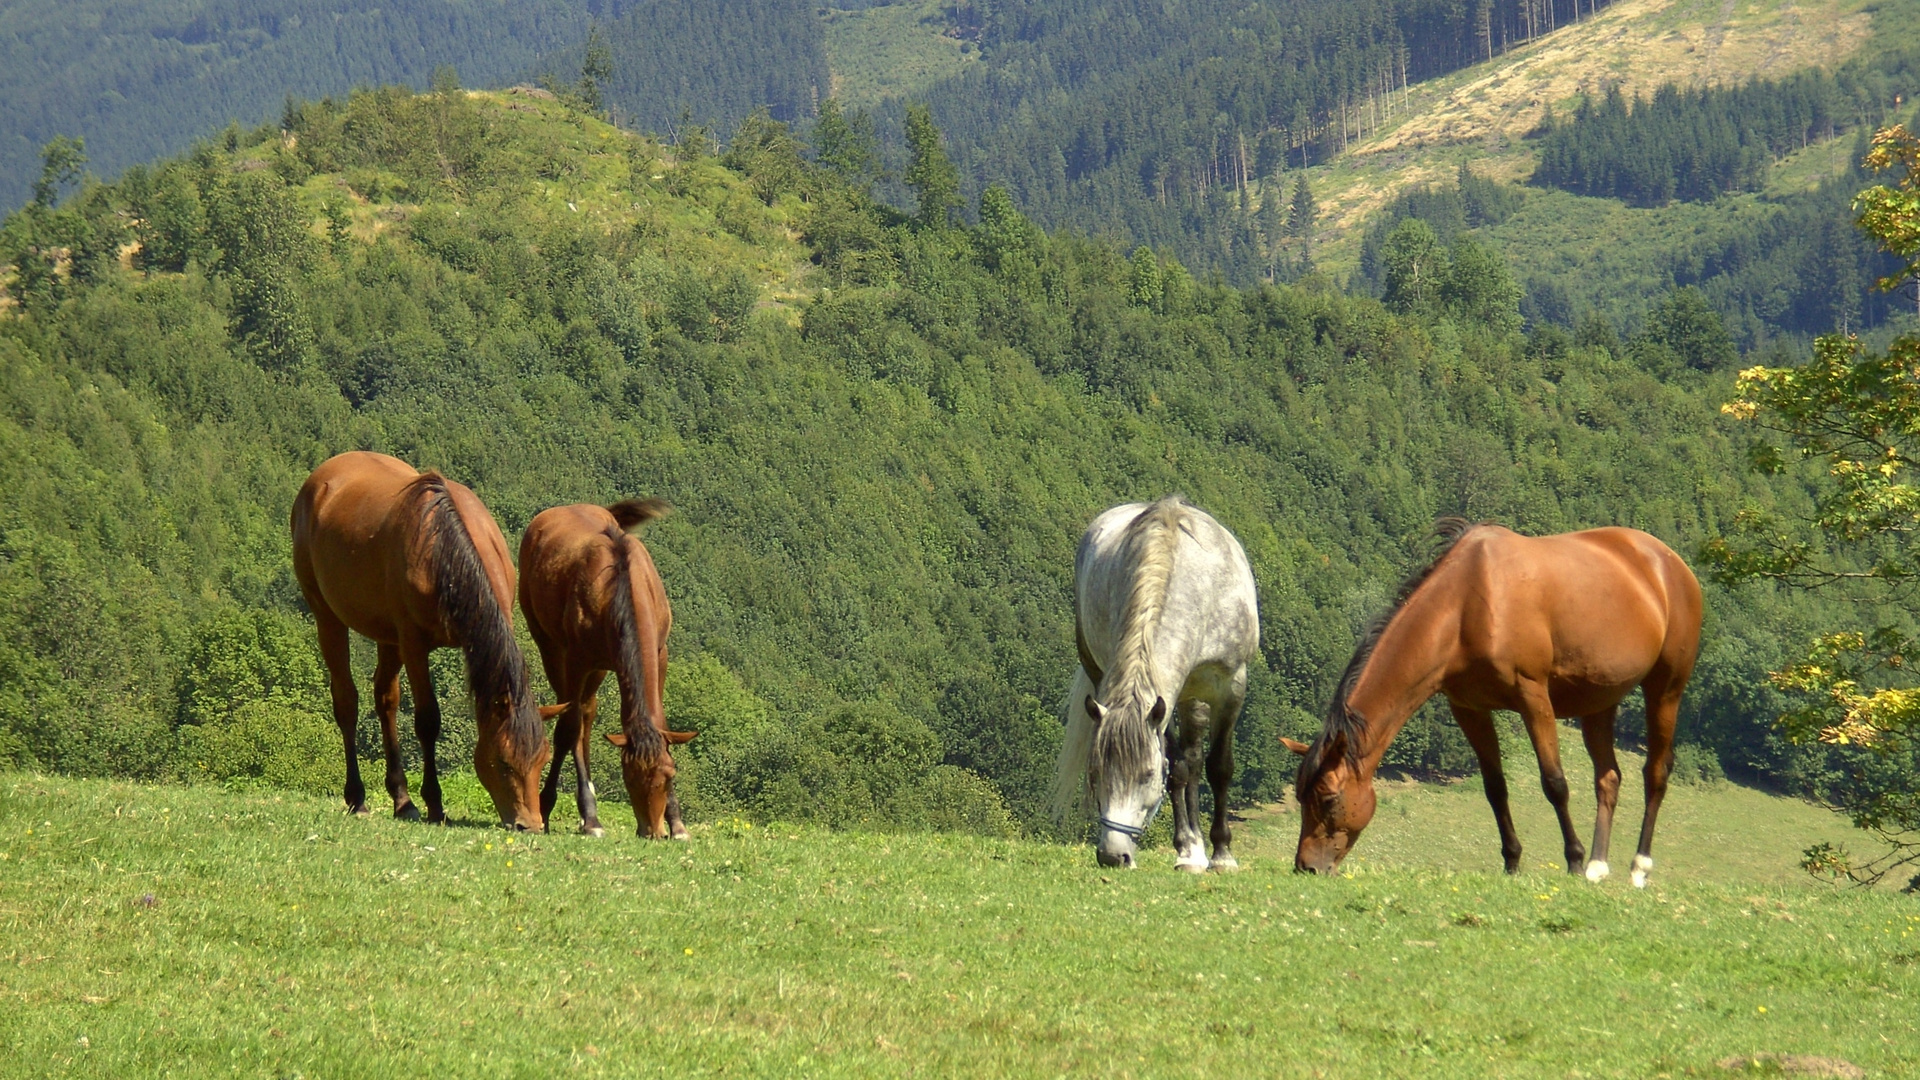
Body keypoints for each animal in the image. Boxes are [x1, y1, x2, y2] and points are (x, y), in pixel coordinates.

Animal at [291, 449, 560, 826]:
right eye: (503, 762)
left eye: (542, 759)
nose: (530, 825)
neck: (445, 553)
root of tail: (321, 477)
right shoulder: (414, 644)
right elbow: (427, 721)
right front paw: (435, 803)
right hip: (327, 617)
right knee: (346, 701)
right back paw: (357, 797)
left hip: (387, 637)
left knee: (385, 700)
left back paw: (402, 800)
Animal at [514, 499, 695, 837]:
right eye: (629, 779)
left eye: (669, 775)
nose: (653, 831)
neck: (621, 584)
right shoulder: (578, 659)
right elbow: (568, 728)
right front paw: (585, 817)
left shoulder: (659, 653)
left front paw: (677, 824)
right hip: (550, 645)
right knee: (573, 720)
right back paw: (575, 811)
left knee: (588, 711)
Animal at [1052, 495, 1259, 864]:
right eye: (1097, 773)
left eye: (1146, 776)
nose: (1112, 855)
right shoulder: (1160, 700)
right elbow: (1176, 768)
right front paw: (1187, 849)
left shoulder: (1232, 685)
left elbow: (1219, 766)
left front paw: (1223, 854)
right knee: (1187, 761)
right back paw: (1194, 849)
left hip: (1194, 693)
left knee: (1196, 755)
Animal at [1282, 518, 1704, 883]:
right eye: (1300, 797)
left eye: (1328, 799)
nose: (1307, 867)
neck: (1466, 606)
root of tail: (1668, 562)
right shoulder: (1470, 710)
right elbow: (1495, 788)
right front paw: (1512, 862)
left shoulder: (1533, 697)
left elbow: (1555, 782)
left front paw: (1572, 858)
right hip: (1599, 701)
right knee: (1609, 778)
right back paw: (1598, 867)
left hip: (1666, 688)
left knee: (1655, 773)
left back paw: (1638, 866)